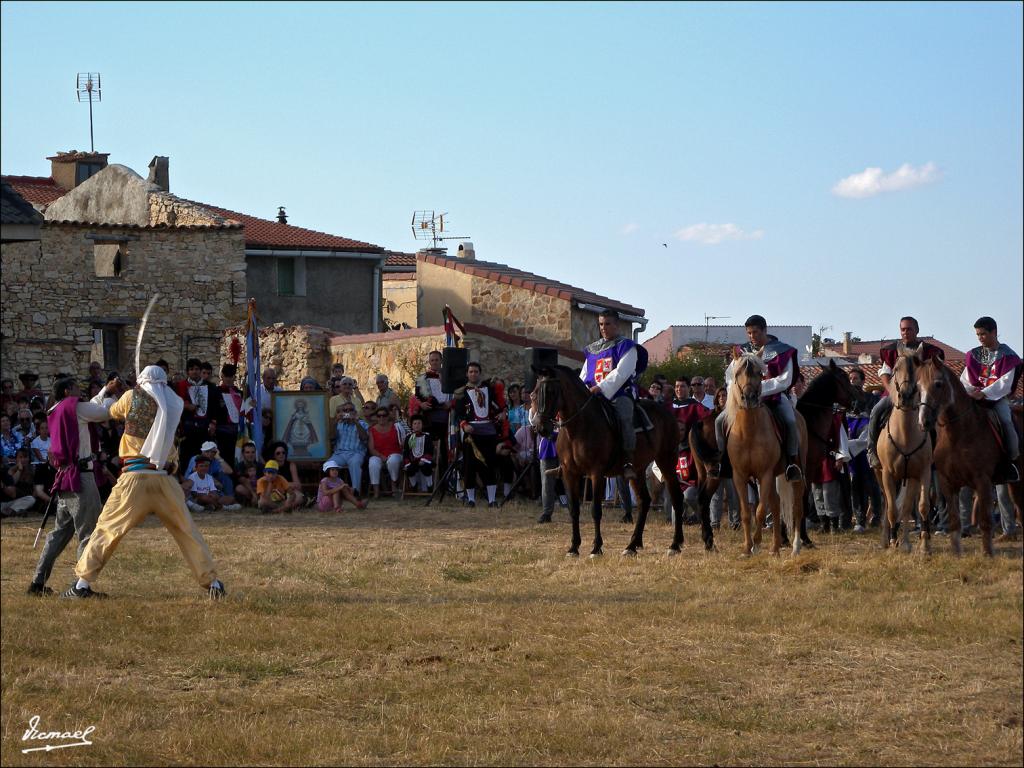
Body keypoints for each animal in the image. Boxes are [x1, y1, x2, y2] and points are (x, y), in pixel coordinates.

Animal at [528, 366, 712, 561]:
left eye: (551, 391)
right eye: (534, 393)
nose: (541, 428)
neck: (578, 428)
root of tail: (668, 412)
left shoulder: (596, 473)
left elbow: (595, 510)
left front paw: (596, 548)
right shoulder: (570, 473)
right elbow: (574, 510)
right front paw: (573, 547)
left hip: (666, 461)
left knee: (676, 498)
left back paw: (675, 545)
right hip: (638, 469)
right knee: (644, 501)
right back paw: (632, 545)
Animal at [724, 352, 802, 557]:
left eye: (760, 373)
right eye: (738, 373)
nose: (750, 398)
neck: (748, 432)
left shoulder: (765, 474)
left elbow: (759, 511)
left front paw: (757, 544)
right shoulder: (740, 476)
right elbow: (746, 513)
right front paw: (746, 548)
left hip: (797, 476)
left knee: (796, 508)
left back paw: (796, 547)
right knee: (775, 505)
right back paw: (775, 548)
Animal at [876, 352, 933, 557]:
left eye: (918, 369)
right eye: (895, 368)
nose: (906, 396)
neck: (905, 434)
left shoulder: (921, 473)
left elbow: (918, 507)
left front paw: (921, 546)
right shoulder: (887, 474)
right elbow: (893, 509)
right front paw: (893, 542)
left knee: (906, 508)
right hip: (880, 475)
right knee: (886, 504)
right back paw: (886, 540)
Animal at [917, 358, 1019, 557]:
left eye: (938, 384)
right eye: (918, 386)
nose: (924, 421)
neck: (958, 434)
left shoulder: (983, 481)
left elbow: (985, 519)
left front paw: (988, 553)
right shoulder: (947, 483)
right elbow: (955, 520)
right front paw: (956, 553)